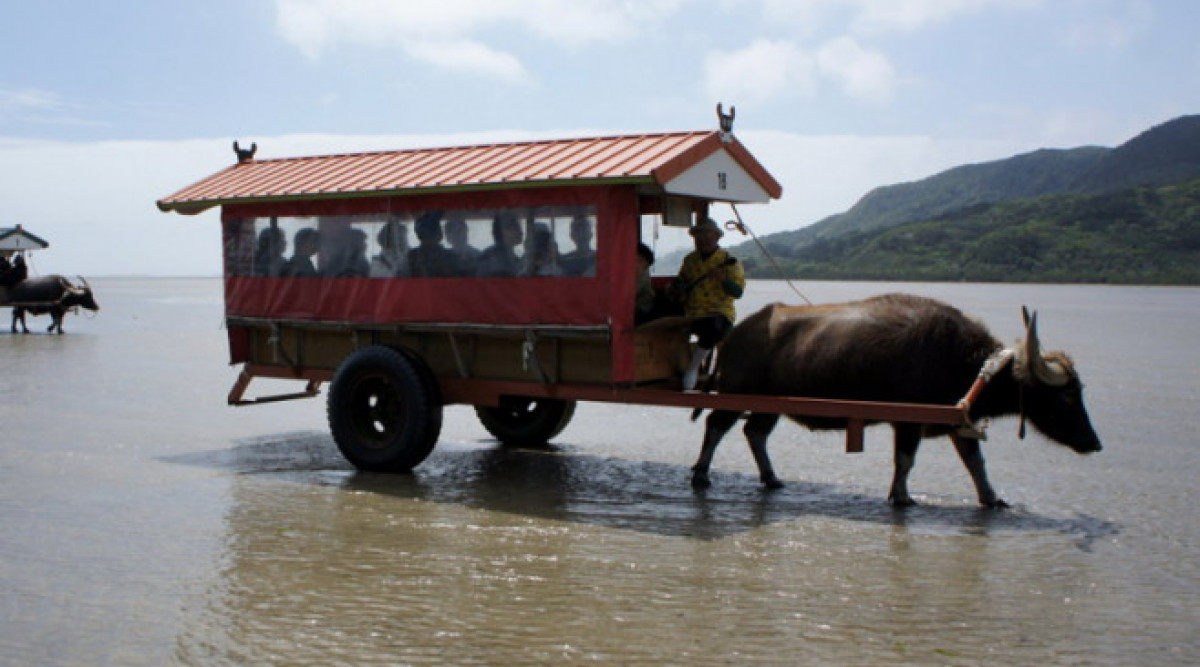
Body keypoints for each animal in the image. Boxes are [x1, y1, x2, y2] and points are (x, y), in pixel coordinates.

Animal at [691, 293, 1099, 508]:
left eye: (1079, 391)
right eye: (1065, 395)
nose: (1094, 443)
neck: (961, 360)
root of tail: (735, 334)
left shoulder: (958, 421)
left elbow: (975, 463)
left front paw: (991, 498)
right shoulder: (907, 421)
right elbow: (905, 460)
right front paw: (901, 497)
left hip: (769, 405)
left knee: (754, 432)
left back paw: (772, 478)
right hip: (735, 394)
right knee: (716, 426)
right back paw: (700, 474)